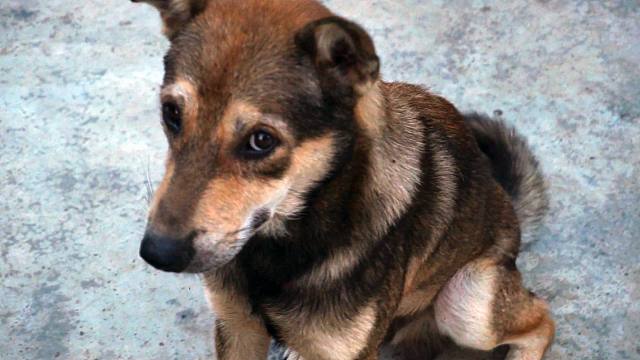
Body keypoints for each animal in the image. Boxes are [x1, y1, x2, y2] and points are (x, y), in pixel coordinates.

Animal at [132, 1, 552, 358]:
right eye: (171, 113)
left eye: (261, 140)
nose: (157, 253)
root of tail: (508, 206)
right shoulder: (237, 328)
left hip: (467, 304)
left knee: (541, 318)